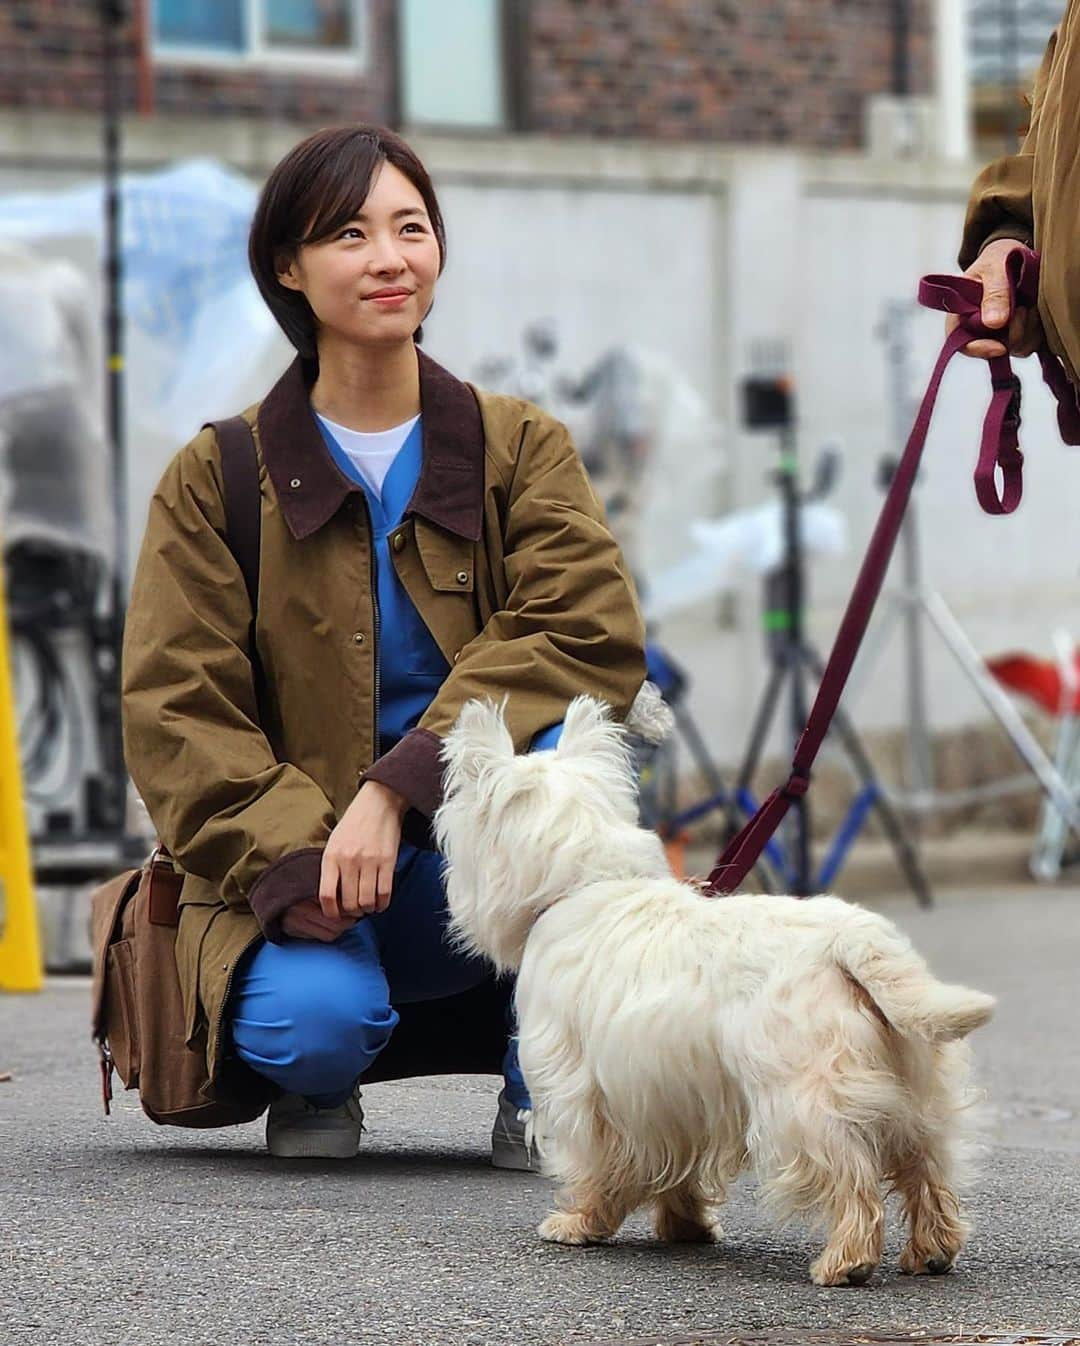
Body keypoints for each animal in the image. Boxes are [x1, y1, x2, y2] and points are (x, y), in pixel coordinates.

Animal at [436, 689, 991, 1286]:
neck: (587, 884)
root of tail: (852, 941)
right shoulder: (677, 1097)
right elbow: (678, 1170)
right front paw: (686, 1227)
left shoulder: (582, 1088)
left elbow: (595, 1163)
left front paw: (579, 1222)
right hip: (917, 1087)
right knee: (925, 1165)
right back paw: (932, 1249)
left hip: (802, 1096)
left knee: (850, 1173)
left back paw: (846, 1260)